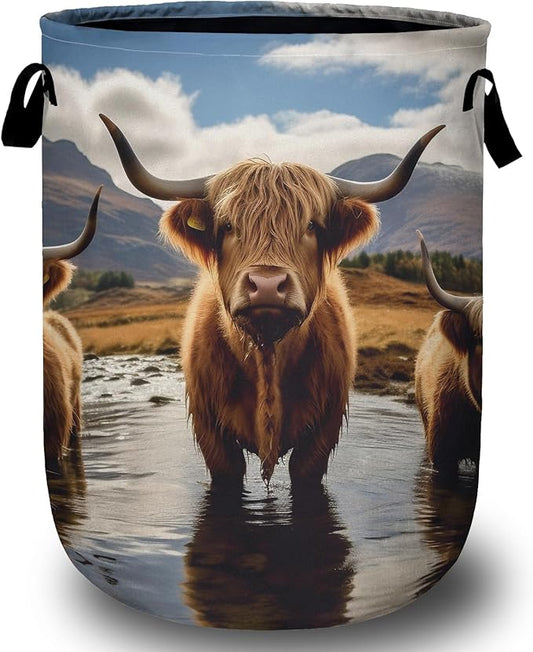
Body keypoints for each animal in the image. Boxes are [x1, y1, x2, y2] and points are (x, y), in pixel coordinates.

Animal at [101, 114, 443, 486]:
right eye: (227, 226)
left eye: (311, 225)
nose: (266, 285)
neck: (267, 354)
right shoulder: (211, 431)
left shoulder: (323, 430)